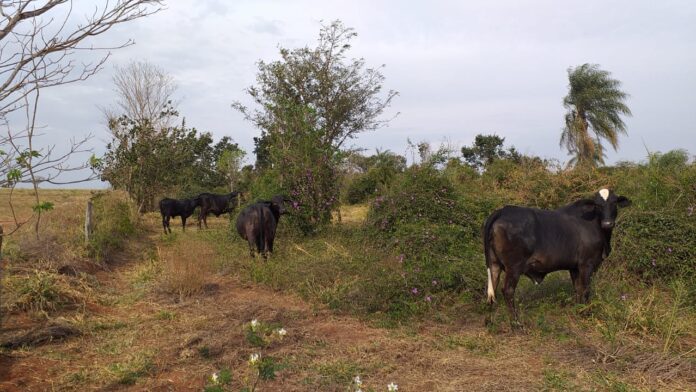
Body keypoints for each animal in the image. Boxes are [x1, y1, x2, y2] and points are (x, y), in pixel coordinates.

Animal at [484, 188, 632, 324]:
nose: (607, 223)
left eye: (614, 202)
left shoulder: (574, 267)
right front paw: (586, 314)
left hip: (494, 264)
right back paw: (516, 324)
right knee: (507, 291)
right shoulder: (587, 264)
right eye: (598, 205)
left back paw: (490, 322)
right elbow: (585, 290)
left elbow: (578, 289)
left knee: (492, 291)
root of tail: (503, 211)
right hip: (514, 267)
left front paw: (579, 310)